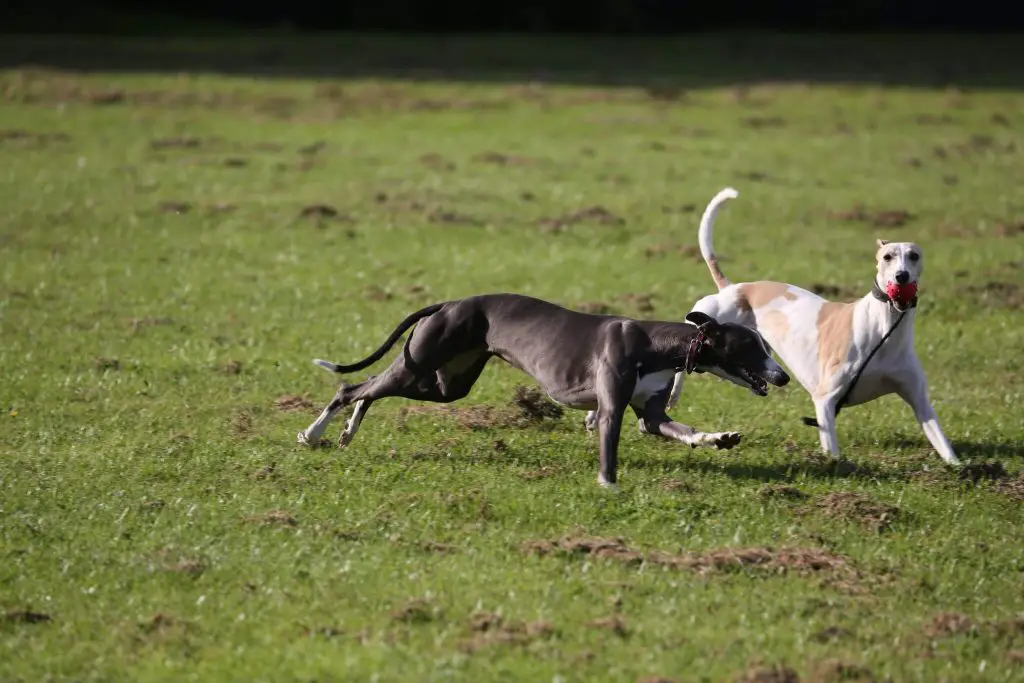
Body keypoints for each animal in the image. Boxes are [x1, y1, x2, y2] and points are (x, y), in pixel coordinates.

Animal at [296, 290, 790, 489]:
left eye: (766, 344)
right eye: (751, 346)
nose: (783, 377)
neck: (656, 343)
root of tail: (449, 304)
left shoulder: (652, 415)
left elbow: (680, 431)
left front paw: (720, 438)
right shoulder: (609, 407)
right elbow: (608, 442)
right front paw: (608, 486)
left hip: (444, 385)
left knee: (368, 391)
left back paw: (345, 433)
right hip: (422, 363)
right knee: (352, 387)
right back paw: (314, 433)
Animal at [679, 189, 958, 466]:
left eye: (914, 256)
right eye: (887, 257)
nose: (902, 276)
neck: (884, 330)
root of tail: (734, 288)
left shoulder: (920, 401)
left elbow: (943, 443)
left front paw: (959, 467)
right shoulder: (825, 399)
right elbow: (831, 447)